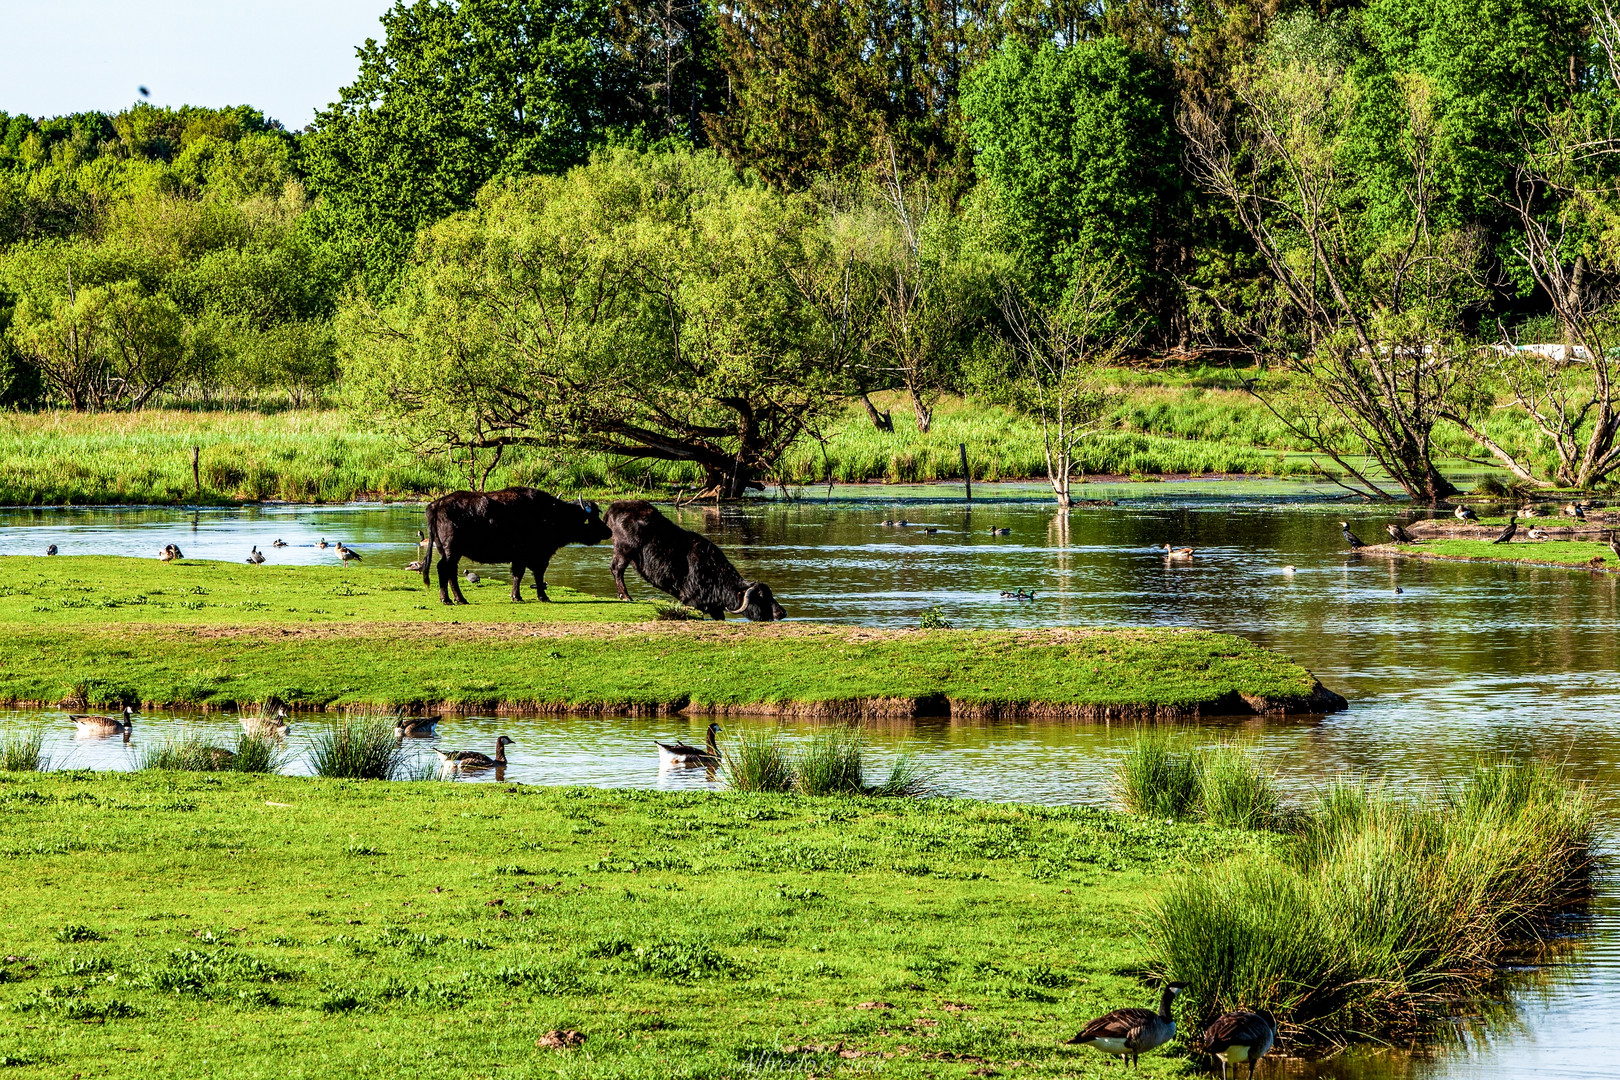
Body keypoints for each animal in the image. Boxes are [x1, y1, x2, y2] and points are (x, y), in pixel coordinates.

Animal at [421, 492, 609, 608]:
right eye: (592, 517)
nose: (608, 531)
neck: (549, 515)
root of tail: (436, 505)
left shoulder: (523, 558)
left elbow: (520, 575)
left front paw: (518, 596)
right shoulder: (534, 557)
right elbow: (532, 575)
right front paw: (539, 596)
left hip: (449, 552)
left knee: (450, 572)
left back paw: (459, 599)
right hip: (451, 551)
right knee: (444, 569)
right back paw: (448, 599)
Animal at [605, 501, 787, 621]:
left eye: (771, 595)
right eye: (761, 597)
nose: (781, 612)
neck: (713, 573)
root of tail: (614, 508)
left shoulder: (714, 608)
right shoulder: (691, 601)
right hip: (624, 551)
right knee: (616, 569)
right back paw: (626, 596)